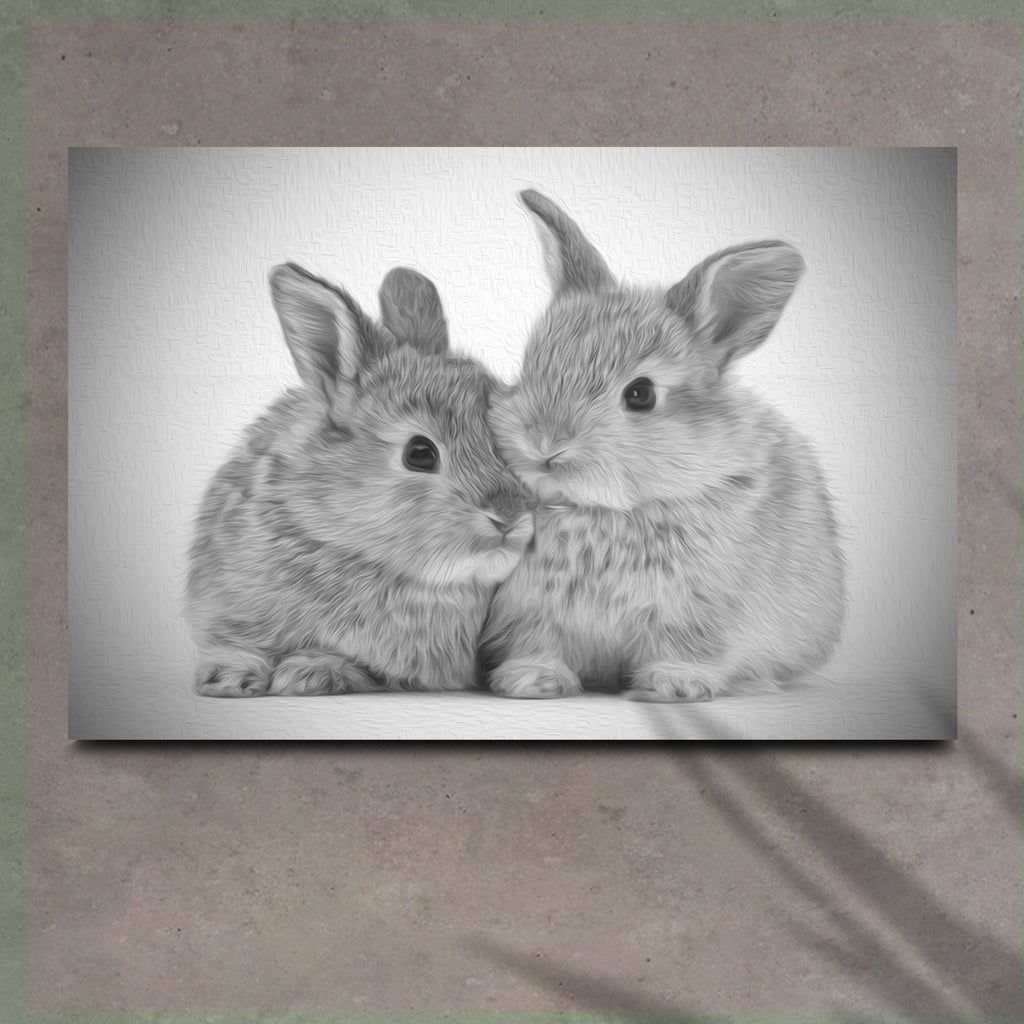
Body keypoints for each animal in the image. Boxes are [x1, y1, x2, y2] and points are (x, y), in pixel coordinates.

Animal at [185, 261, 533, 697]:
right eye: (420, 453)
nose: (510, 516)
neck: (353, 550)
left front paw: (309, 673)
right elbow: (235, 643)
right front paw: (228, 677)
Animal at [479, 189, 846, 702]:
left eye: (641, 394)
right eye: (531, 368)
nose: (545, 443)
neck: (604, 510)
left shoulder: (698, 610)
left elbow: (687, 647)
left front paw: (676, 684)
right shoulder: (530, 610)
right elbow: (538, 643)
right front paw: (532, 679)